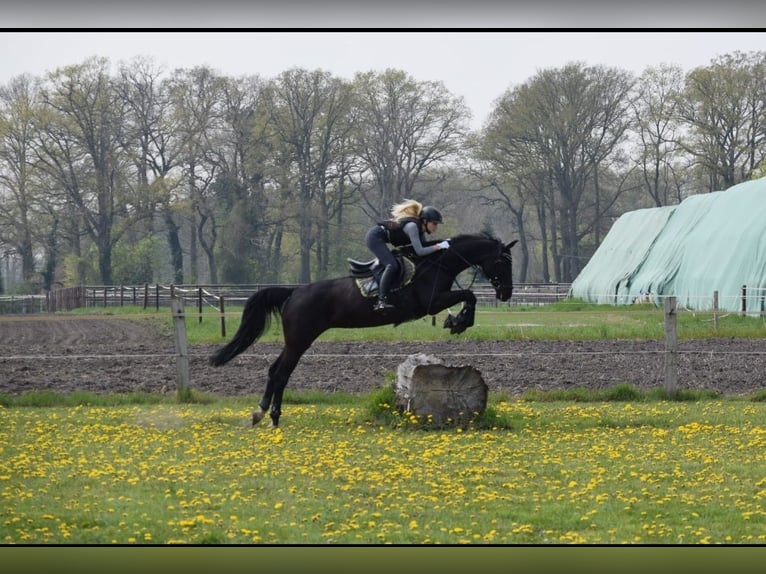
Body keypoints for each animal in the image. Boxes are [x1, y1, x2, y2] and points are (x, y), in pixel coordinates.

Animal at [213, 233, 520, 428]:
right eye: (503, 262)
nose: (506, 293)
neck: (438, 262)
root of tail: (294, 292)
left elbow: (469, 296)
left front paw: (458, 320)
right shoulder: (431, 303)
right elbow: (470, 294)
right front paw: (459, 321)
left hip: (295, 341)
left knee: (275, 370)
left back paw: (263, 413)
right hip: (300, 340)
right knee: (281, 373)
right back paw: (270, 415)